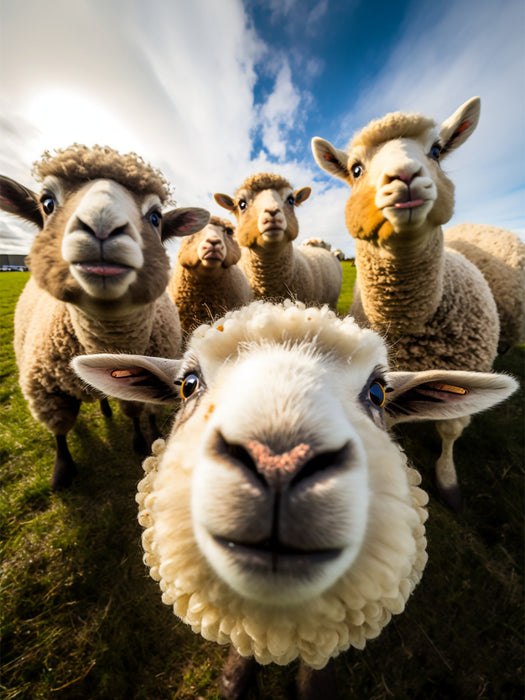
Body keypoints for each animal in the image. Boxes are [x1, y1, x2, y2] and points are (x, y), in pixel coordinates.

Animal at [0, 144, 210, 490]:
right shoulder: (47, 394)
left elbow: (139, 411)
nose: (102, 226)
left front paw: (143, 438)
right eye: (47, 203)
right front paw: (62, 470)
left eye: (155, 217)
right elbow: (59, 432)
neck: (108, 340)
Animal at [311, 96, 525, 510]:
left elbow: (451, 430)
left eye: (437, 151)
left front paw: (448, 480)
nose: (404, 176)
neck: (411, 323)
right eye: (356, 169)